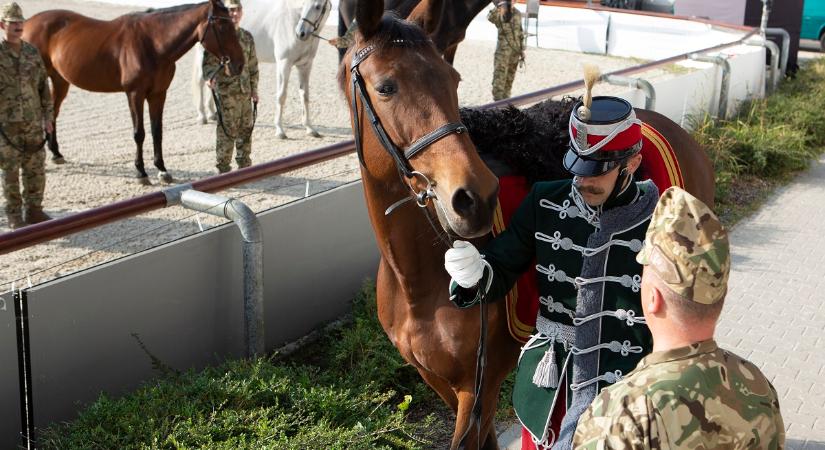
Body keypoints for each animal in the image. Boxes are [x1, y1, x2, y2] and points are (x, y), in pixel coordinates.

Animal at [23, 0, 245, 185]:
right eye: (223, 26)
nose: (239, 64)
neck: (152, 44)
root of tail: (27, 24)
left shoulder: (158, 94)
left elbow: (157, 131)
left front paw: (162, 170)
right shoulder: (134, 94)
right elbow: (139, 133)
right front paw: (141, 172)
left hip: (61, 80)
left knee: (52, 113)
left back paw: (56, 153)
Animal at [193, 0, 332, 139]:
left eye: (317, 7)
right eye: (304, 5)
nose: (300, 33)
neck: (291, 20)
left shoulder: (305, 66)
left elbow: (305, 96)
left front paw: (310, 128)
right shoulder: (283, 64)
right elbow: (281, 96)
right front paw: (279, 130)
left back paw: (212, 114)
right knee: (200, 82)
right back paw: (202, 116)